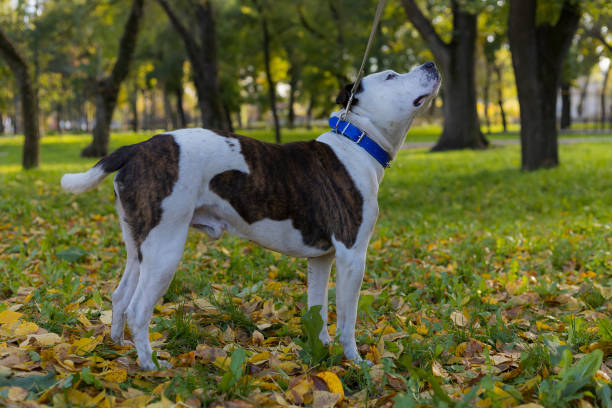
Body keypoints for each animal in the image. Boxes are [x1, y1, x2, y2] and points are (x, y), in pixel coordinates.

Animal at [61, 63, 440, 370]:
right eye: (391, 76)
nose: (430, 64)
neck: (357, 142)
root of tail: (137, 147)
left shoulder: (322, 260)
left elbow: (317, 310)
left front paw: (321, 352)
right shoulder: (352, 256)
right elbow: (347, 319)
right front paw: (355, 362)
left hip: (140, 247)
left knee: (120, 297)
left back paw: (118, 347)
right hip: (165, 251)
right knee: (138, 309)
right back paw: (150, 366)